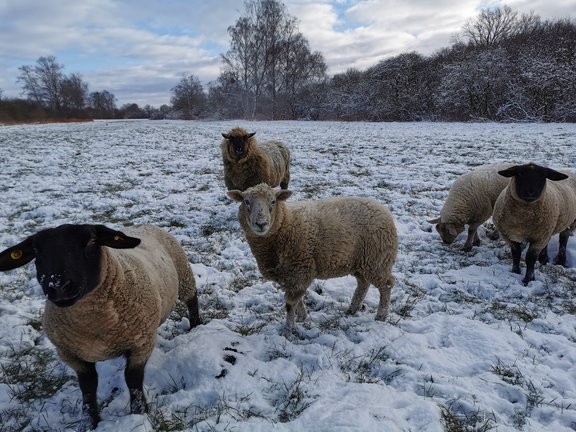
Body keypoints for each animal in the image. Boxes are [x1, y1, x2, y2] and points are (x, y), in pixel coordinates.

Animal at [0, 224, 202, 430]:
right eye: (36, 251)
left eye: (91, 242)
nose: (57, 285)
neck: (94, 326)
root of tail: (145, 225)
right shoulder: (71, 355)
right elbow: (88, 387)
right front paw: (89, 422)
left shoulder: (141, 343)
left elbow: (132, 379)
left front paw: (139, 413)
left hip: (184, 275)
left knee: (192, 298)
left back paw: (196, 325)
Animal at [227, 181, 398, 328]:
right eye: (246, 201)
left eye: (273, 201)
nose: (261, 224)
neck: (285, 223)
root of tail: (383, 209)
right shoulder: (289, 274)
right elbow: (298, 299)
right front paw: (302, 318)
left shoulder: (299, 269)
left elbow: (290, 303)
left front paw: (289, 329)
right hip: (361, 262)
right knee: (363, 284)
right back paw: (352, 309)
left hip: (378, 259)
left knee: (387, 285)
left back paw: (381, 315)